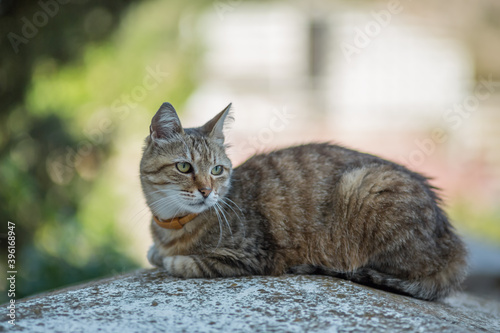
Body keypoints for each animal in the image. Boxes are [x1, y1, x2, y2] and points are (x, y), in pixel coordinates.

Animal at [141, 102, 468, 300]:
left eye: (217, 170)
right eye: (184, 167)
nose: (207, 191)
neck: (173, 224)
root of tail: (453, 246)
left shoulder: (252, 256)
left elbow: (185, 263)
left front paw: (171, 259)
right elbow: (154, 253)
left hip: (366, 185)